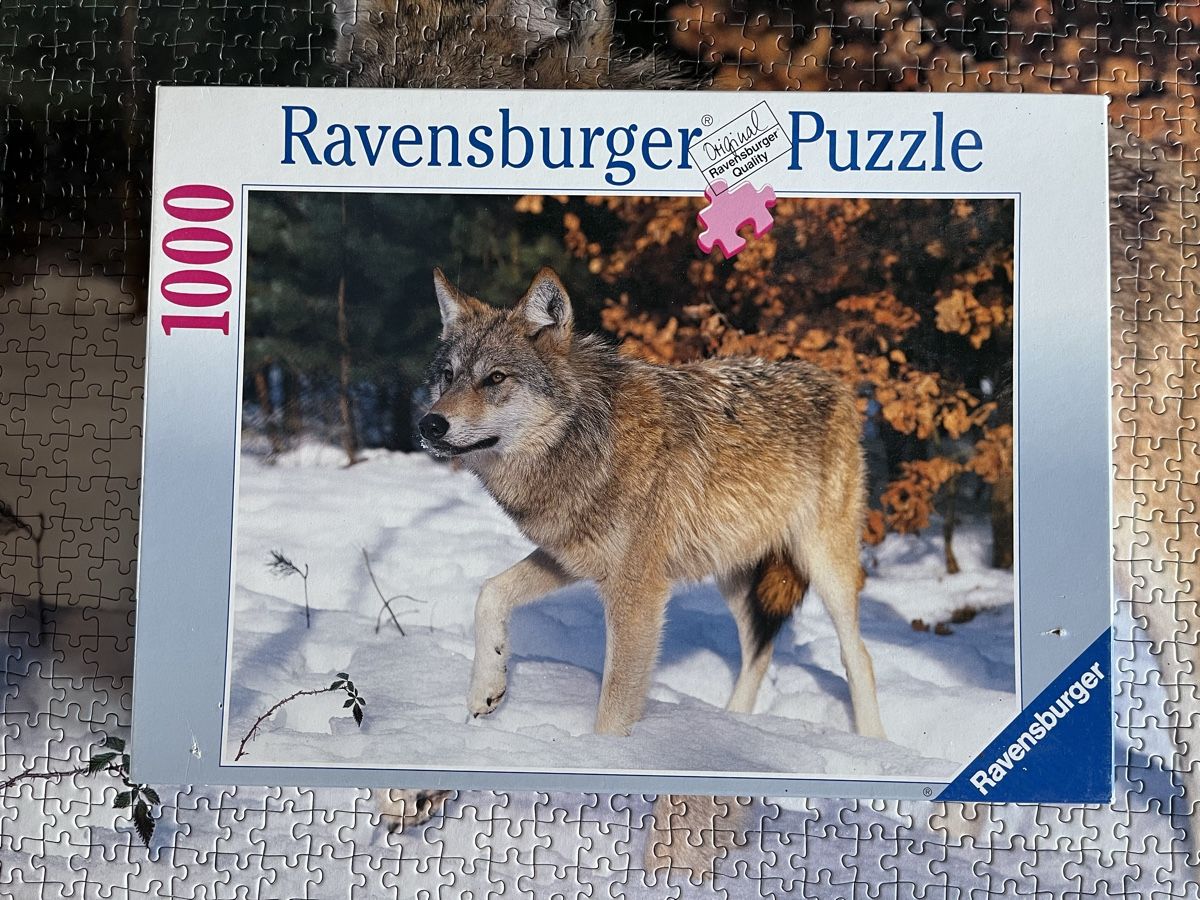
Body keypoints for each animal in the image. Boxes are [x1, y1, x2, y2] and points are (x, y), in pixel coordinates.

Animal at [418, 266, 886, 739]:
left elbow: (613, 709)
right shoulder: (571, 558)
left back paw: (872, 742)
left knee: (859, 657)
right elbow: (490, 592)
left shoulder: (638, 592)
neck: (588, 443)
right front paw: (486, 689)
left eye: (495, 378)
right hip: (731, 571)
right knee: (760, 649)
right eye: (448, 375)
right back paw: (735, 723)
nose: (430, 424)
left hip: (824, 566)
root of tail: (835, 382)